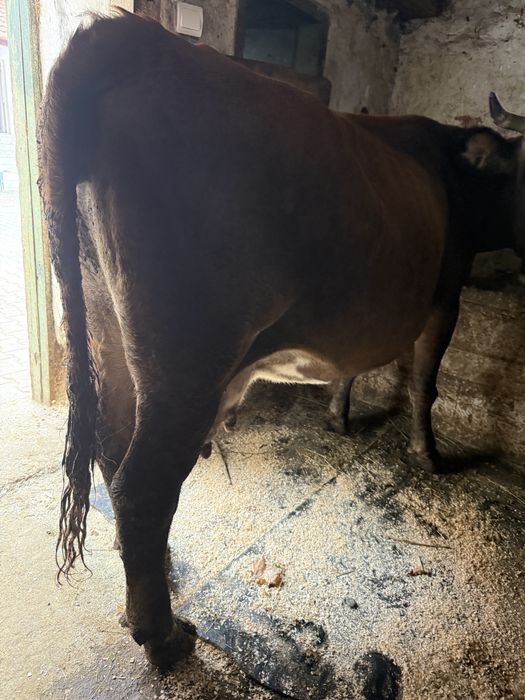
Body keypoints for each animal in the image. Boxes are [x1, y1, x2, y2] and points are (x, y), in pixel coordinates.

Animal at [37, 11, 524, 669]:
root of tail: (128, 36)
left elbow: (355, 365)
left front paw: (340, 418)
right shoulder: (446, 294)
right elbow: (426, 383)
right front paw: (428, 455)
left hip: (106, 331)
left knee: (113, 455)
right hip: (186, 365)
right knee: (142, 488)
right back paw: (162, 635)